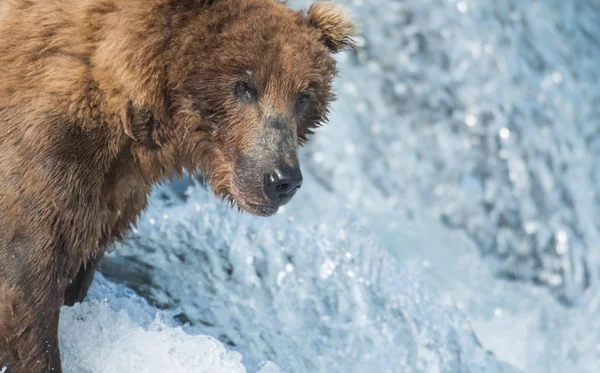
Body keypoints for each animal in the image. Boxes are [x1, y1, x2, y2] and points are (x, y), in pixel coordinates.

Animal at [0, 0, 356, 370]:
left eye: (303, 95)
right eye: (244, 85)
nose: (281, 179)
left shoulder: (112, 197)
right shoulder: (51, 149)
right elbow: (26, 281)